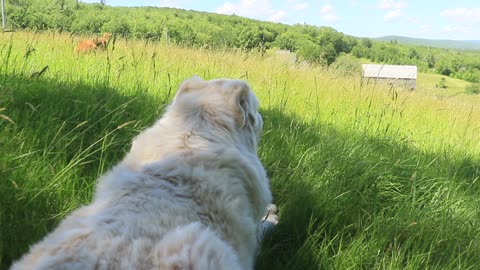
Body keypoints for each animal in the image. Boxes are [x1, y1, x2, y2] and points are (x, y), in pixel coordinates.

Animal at [11, 76, 278, 270]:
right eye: (256, 110)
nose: (264, 117)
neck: (194, 133)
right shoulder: (249, 232)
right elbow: (262, 227)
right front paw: (272, 216)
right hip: (199, 245)